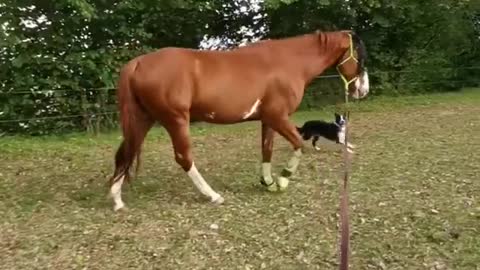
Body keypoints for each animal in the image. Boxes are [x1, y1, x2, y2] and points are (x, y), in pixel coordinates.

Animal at [110, 29, 370, 211]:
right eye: (360, 57)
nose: (363, 90)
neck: (289, 62)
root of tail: (138, 63)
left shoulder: (268, 119)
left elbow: (267, 150)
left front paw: (268, 182)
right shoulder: (278, 117)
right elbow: (299, 145)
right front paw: (283, 180)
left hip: (143, 120)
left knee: (125, 153)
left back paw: (117, 200)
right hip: (176, 120)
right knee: (184, 158)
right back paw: (213, 195)